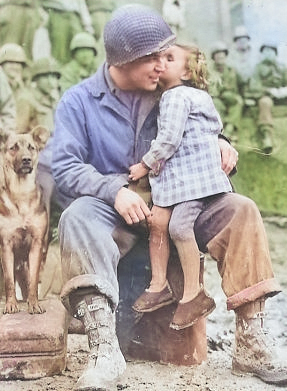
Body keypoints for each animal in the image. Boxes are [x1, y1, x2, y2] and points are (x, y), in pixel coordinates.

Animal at [0, 126, 49, 316]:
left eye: (31, 147)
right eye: (13, 147)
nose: (26, 160)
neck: (21, 193)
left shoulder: (36, 243)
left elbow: (33, 281)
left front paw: (34, 304)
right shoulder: (6, 245)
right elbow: (8, 281)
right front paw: (10, 305)